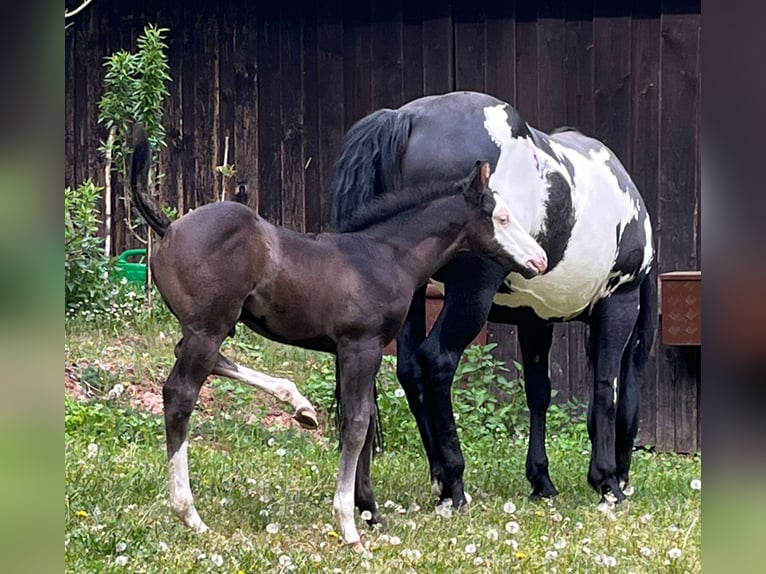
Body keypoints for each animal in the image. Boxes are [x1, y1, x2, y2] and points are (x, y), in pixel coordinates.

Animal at [128, 124, 547, 548]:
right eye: (503, 218)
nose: (540, 259)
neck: (385, 257)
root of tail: (170, 227)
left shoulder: (353, 350)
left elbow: (361, 420)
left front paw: (371, 513)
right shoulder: (361, 346)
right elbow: (358, 423)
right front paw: (348, 524)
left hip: (211, 328)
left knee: (197, 359)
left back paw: (299, 405)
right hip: (209, 327)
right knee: (180, 395)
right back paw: (189, 513)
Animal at [331, 91, 657, 508]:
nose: (626, 479)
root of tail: (407, 119)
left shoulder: (536, 321)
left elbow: (539, 395)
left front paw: (541, 480)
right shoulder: (619, 304)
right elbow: (606, 389)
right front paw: (606, 482)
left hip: (411, 292)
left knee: (410, 369)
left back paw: (440, 477)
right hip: (472, 295)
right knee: (436, 361)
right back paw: (454, 482)